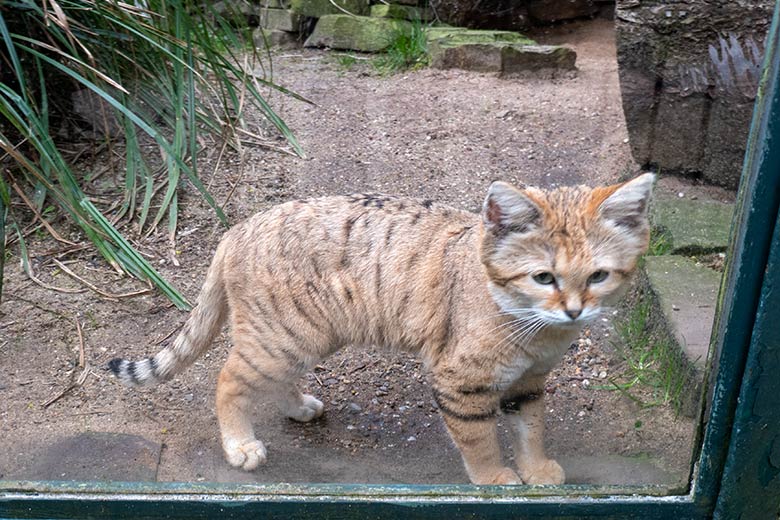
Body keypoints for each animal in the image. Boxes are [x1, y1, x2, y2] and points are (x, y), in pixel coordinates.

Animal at [108, 174, 652, 484]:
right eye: (543, 277)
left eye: (598, 276)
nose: (575, 312)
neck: (534, 329)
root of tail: (239, 228)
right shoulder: (461, 379)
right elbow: (479, 439)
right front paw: (496, 480)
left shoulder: (530, 381)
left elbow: (531, 428)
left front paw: (537, 472)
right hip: (282, 338)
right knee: (227, 380)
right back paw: (240, 445)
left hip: (301, 338)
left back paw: (297, 406)